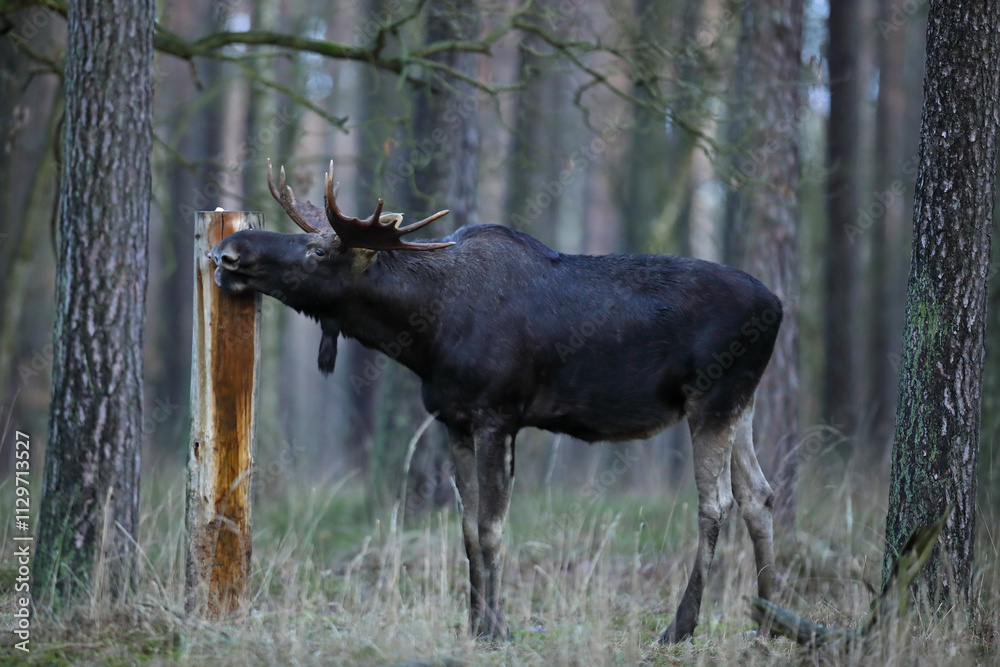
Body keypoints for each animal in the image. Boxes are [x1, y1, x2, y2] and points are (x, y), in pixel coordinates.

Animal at [210, 160, 782, 642]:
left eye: (319, 251)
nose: (228, 252)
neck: (425, 337)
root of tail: (778, 306)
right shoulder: (454, 420)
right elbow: (465, 529)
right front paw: (474, 622)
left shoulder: (497, 415)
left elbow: (490, 529)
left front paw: (497, 628)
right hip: (744, 401)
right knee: (759, 493)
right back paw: (768, 621)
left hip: (712, 396)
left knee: (717, 502)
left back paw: (681, 627)